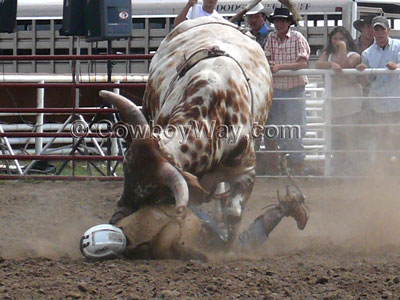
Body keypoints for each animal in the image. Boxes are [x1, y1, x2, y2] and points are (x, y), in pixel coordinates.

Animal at [99, 15, 274, 247]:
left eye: (152, 193)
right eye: (126, 172)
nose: (117, 217)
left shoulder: (246, 170)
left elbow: (234, 212)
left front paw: (229, 247)